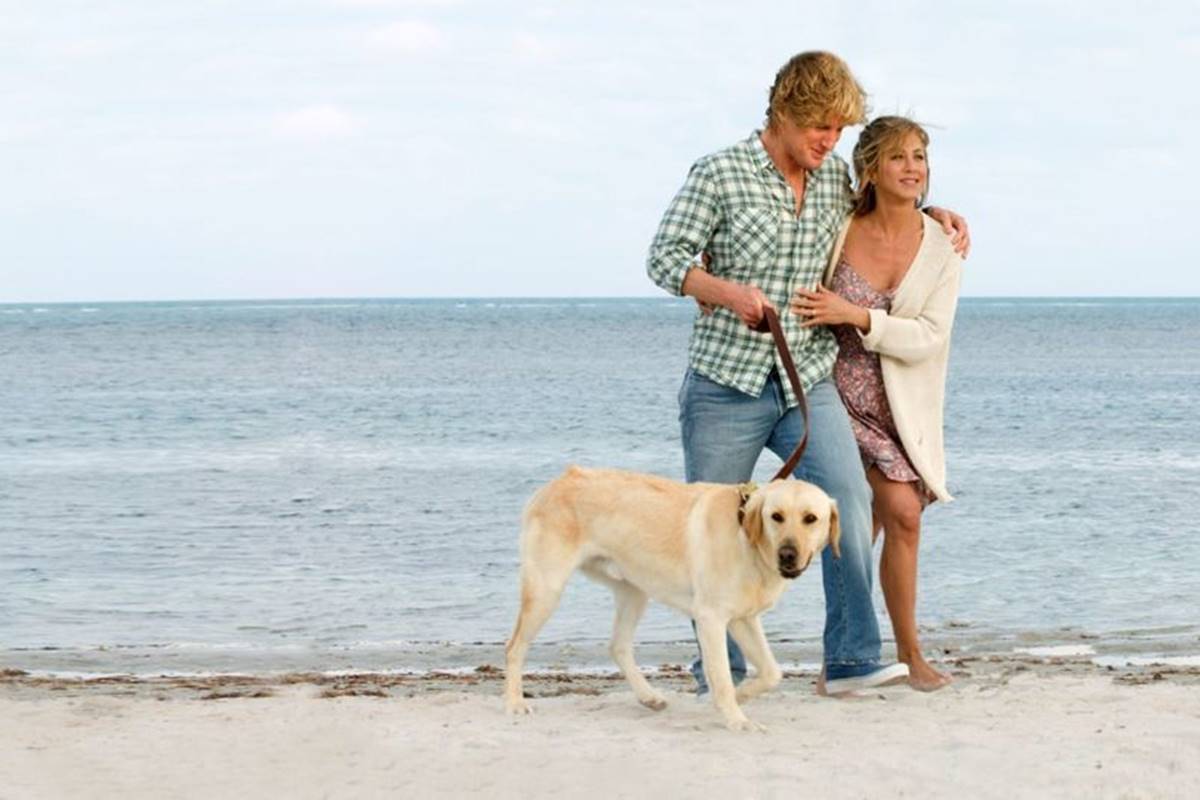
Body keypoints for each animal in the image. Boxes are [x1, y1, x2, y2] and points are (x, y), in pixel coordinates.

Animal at [501, 465, 840, 734]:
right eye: (776, 517)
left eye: (811, 518)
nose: (788, 555)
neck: (748, 540)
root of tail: (558, 481)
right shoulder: (711, 620)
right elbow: (721, 675)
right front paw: (736, 717)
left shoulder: (743, 620)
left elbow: (772, 672)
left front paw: (741, 696)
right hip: (546, 590)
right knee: (514, 646)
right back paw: (515, 702)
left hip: (634, 591)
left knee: (618, 646)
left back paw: (648, 696)